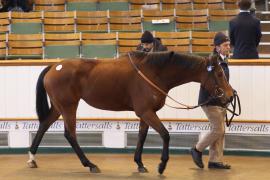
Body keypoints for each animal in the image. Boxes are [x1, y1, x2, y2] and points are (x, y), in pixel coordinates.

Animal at [28, 50, 234, 174]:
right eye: (219, 74)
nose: (230, 96)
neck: (153, 72)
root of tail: (55, 66)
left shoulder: (145, 113)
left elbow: (142, 136)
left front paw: (140, 163)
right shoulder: (146, 112)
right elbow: (165, 134)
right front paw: (162, 164)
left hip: (59, 106)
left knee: (44, 125)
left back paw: (32, 158)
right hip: (69, 106)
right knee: (70, 134)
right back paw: (90, 164)